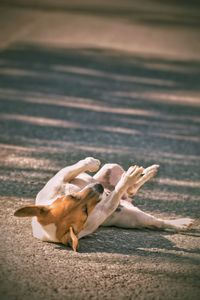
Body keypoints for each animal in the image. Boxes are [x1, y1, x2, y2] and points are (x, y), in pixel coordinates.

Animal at [14, 157, 194, 251]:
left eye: (72, 196)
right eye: (85, 212)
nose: (99, 188)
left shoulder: (60, 178)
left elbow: (77, 166)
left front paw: (92, 162)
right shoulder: (105, 208)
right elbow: (115, 194)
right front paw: (125, 181)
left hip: (110, 168)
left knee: (130, 189)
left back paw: (145, 171)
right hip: (134, 217)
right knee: (156, 219)